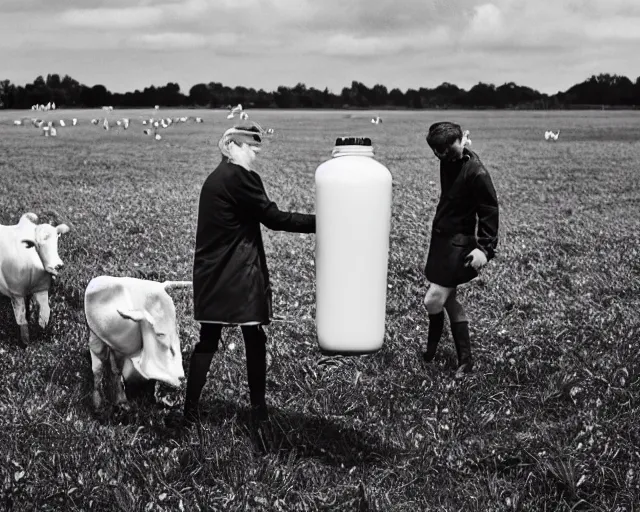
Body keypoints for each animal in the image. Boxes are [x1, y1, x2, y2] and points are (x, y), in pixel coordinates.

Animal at [0, 212, 70, 344]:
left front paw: (42, 330)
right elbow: (22, 320)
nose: (58, 265)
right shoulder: (16, 294)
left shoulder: (41, 289)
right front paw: (26, 343)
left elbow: (45, 313)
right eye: (37, 245)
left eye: (57, 238)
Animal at [84, 276, 191, 412]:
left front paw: (121, 402)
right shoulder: (104, 343)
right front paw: (101, 403)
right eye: (159, 334)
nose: (181, 378)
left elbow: (114, 370)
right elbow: (103, 369)